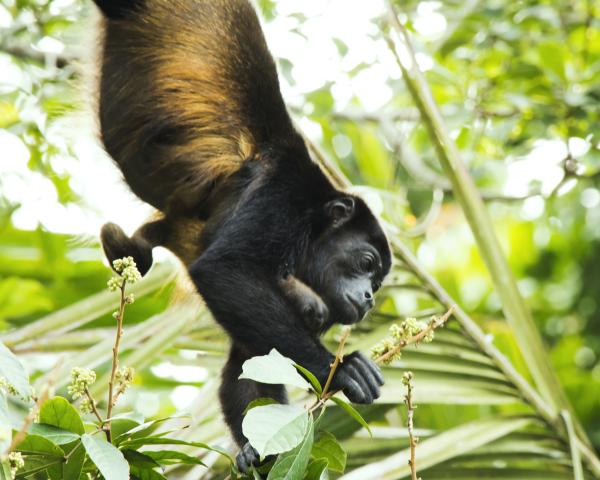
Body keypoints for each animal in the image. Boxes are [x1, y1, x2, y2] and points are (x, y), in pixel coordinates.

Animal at [91, 0, 392, 472]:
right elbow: (224, 270)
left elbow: (253, 360)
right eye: (365, 263)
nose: (368, 299)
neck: (315, 218)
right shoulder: (283, 195)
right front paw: (342, 369)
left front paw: (256, 449)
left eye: (376, 283)